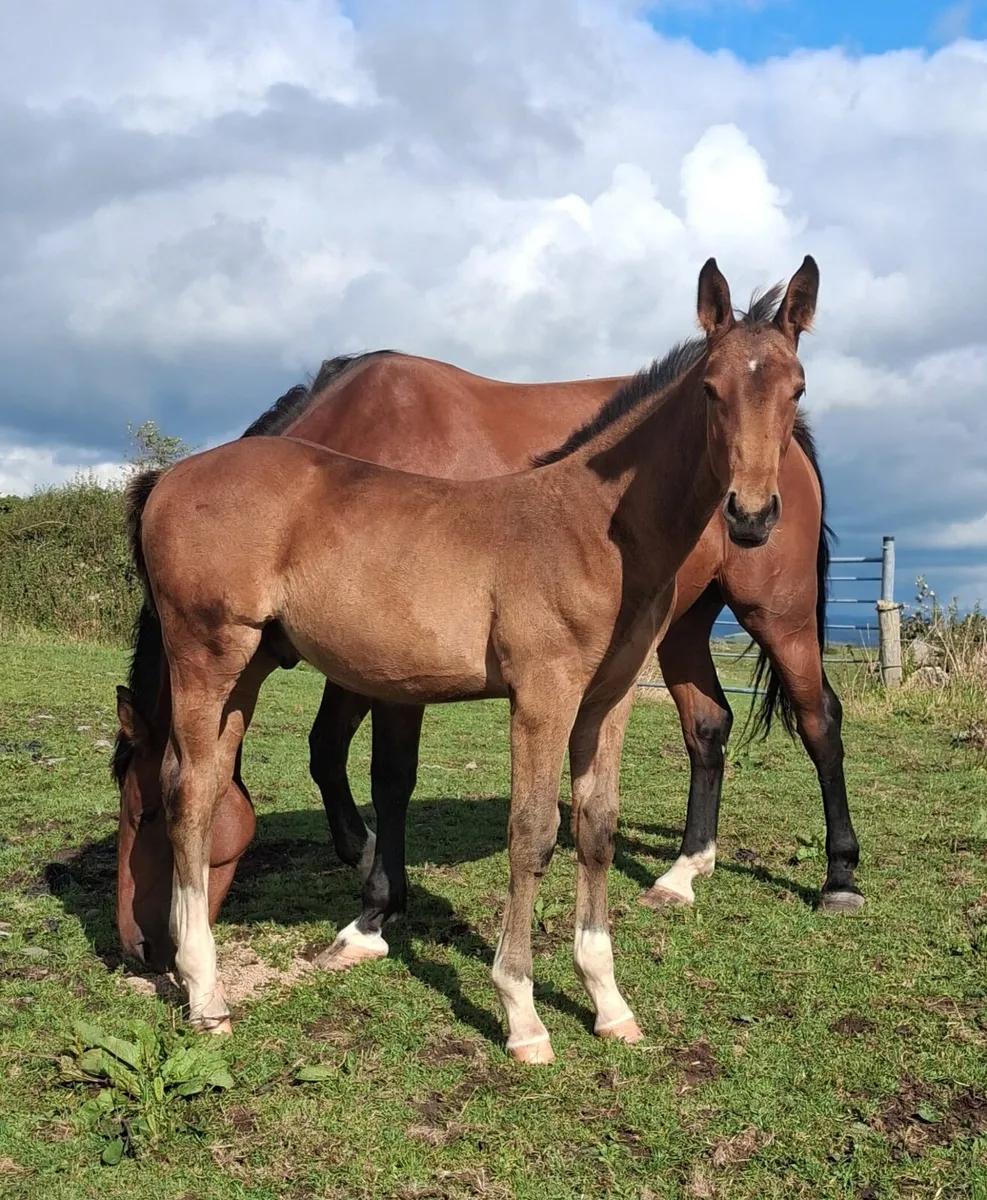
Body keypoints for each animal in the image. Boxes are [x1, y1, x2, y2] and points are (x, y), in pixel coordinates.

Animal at [122, 257, 818, 1061]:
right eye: (711, 388)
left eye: (797, 387)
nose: (751, 516)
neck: (592, 528)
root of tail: (167, 480)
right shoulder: (543, 693)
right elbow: (532, 832)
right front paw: (522, 1014)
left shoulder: (606, 699)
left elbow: (596, 827)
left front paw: (608, 1003)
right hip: (207, 654)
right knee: (189, 790)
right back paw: (205, 992)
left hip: (250, 666)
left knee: (205, 787)